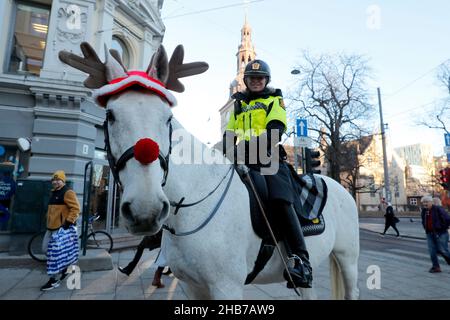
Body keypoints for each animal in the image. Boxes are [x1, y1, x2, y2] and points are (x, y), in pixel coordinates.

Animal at [61, 43, 360, 300]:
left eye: (167, 117)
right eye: (110, 115)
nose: (146, 208)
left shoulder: (226, 286)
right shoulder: (193, 286)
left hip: (348, 258)